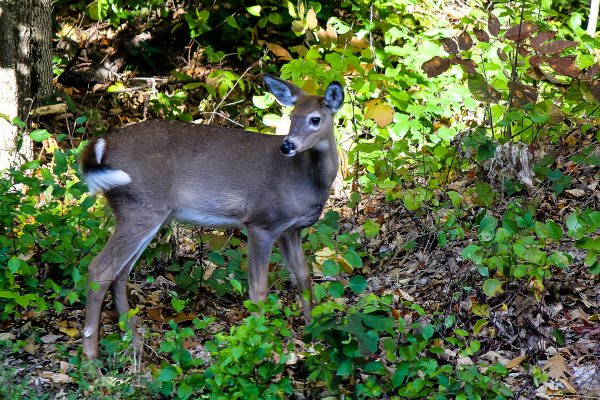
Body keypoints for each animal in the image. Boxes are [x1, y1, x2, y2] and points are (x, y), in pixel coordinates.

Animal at [77, 74, 344, 360]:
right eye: (292, 116)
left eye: (315, 119)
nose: (287, 145)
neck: (303, 180)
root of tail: (100, 145)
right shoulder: (261, 221)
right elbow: (258, 289)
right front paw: (258, 346)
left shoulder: (290, 230)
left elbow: (303, 279)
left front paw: (314, 338)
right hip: (140, 209)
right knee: (99, 269)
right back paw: (91, 359)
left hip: (145, 212)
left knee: (120, 273)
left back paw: (136, 347)